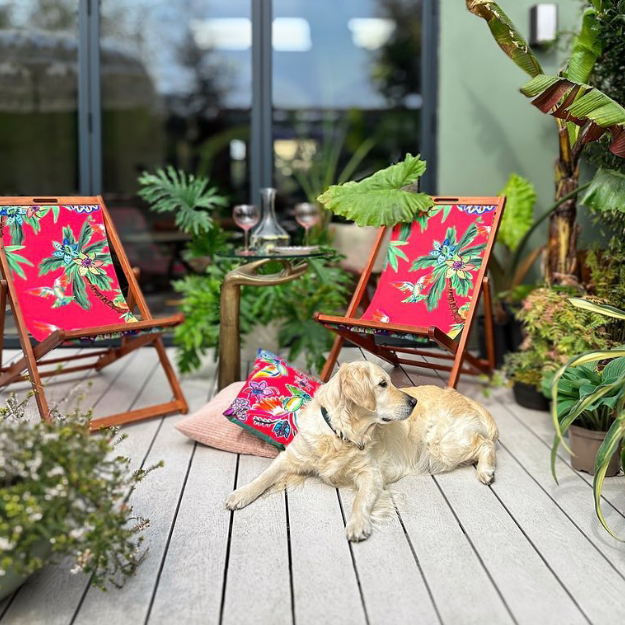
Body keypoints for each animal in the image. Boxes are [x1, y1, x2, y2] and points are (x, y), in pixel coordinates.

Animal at [224, 360, 498, 540]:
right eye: (382, 384)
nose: (413, 401)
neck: (340, 433)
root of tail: (469, 400)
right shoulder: (291, 457)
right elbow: (264, 476)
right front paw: (240, 494)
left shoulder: (371, 473)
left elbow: (361, 499)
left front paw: (357, 524)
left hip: (442, 447)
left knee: (486, 443)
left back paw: (486, 471)